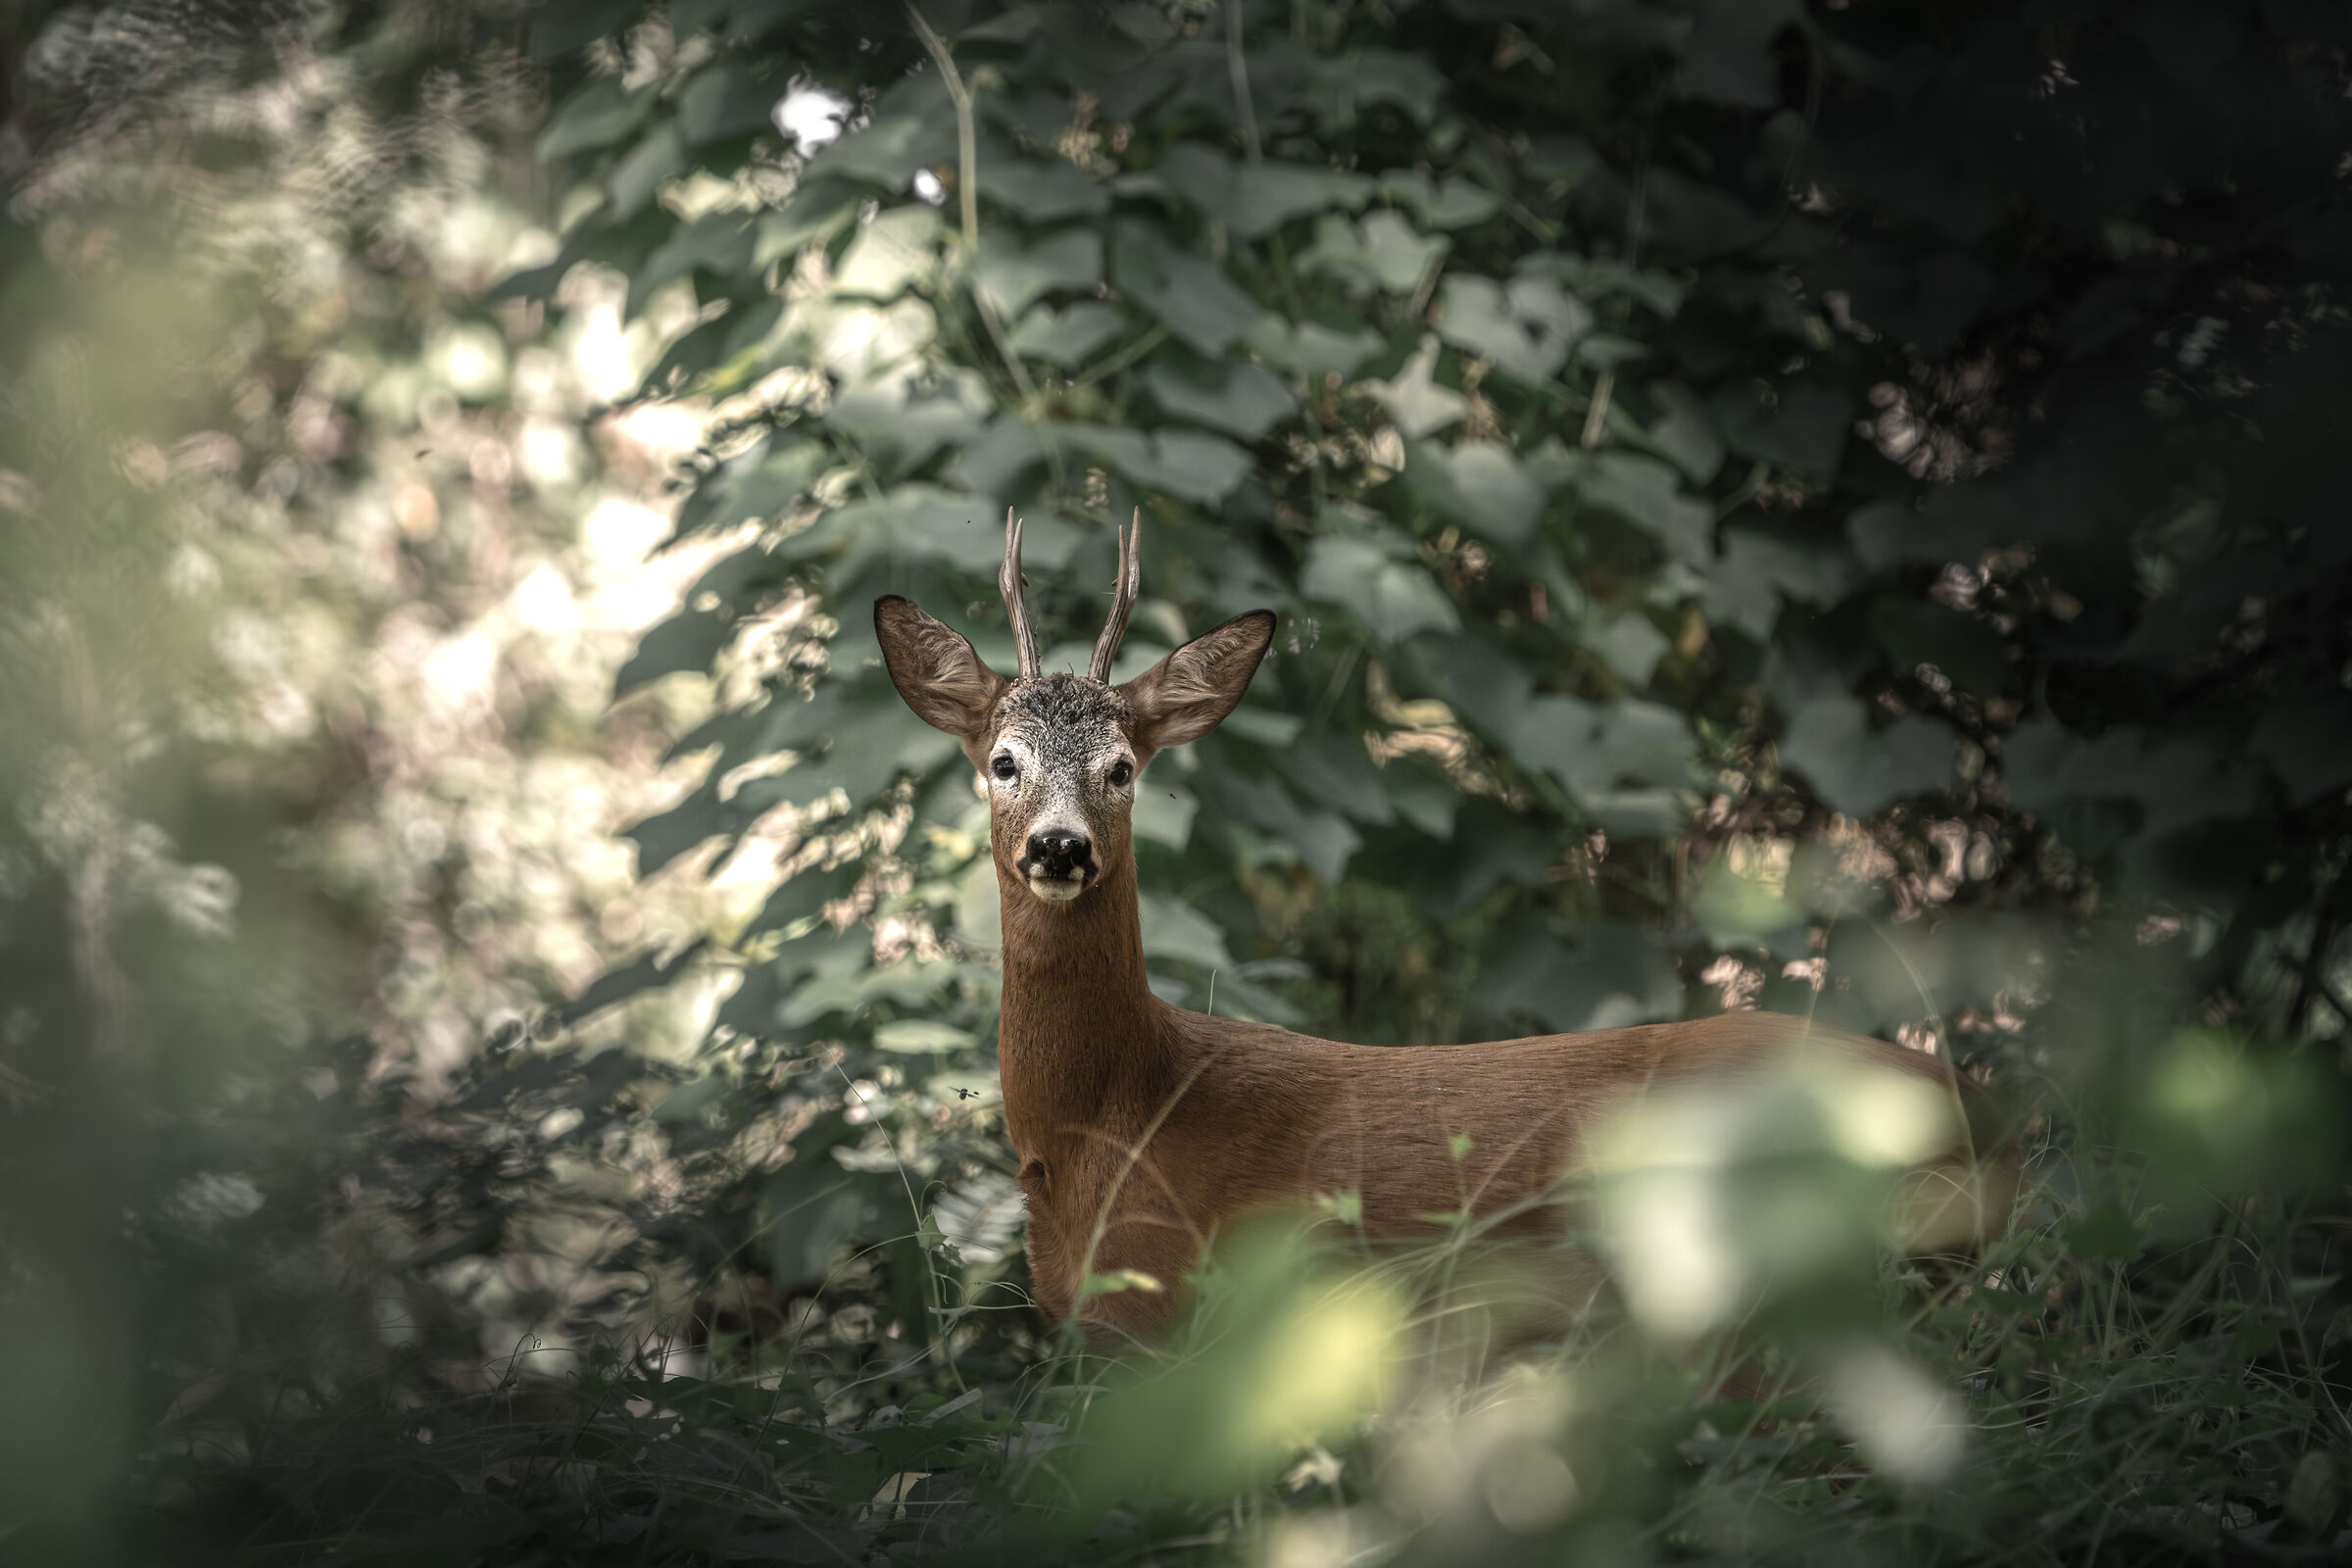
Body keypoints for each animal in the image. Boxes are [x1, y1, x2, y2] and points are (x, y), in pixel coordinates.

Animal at [874, 511, 2013, 1343]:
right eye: (1003, 761)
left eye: (1122, 769)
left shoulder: (1171, 1312)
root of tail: (1984, 1121)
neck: (1109, 1121)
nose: (1061, 847)